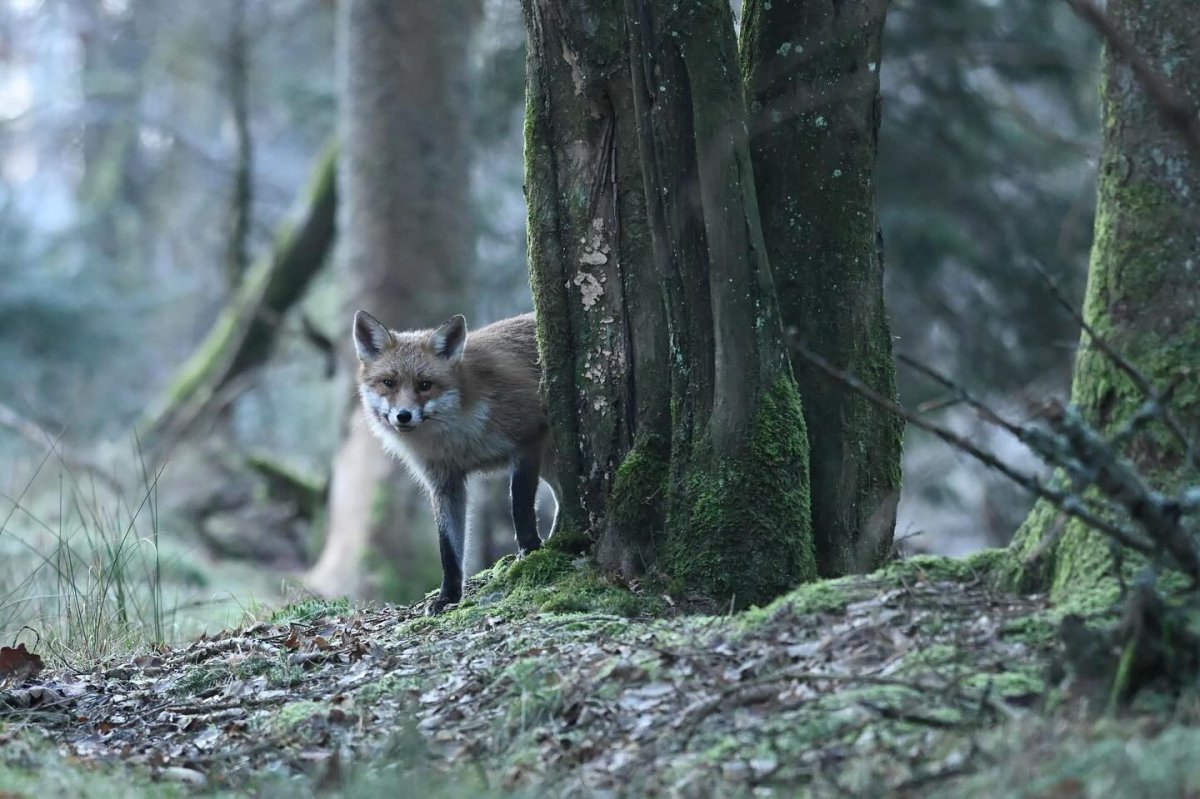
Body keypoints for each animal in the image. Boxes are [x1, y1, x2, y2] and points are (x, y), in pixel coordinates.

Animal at [352, 310, 561, 614]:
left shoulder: (527, 442)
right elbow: (448, 547)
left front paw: (531, 550)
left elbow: (520, 507)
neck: (458, 433)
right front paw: (448, 597)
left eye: (424, 385)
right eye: (389, 383)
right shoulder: (444, 481)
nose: (403, 416)